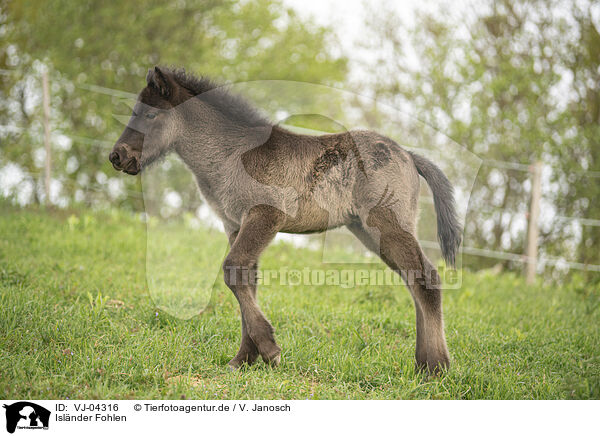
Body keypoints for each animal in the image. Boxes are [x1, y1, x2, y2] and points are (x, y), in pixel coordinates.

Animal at [110, 66, 462, 372]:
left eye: (151, 115)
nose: (118, 156)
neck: (233, 154)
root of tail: (408, 155)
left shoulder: (265, 217)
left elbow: (232, 270)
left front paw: (269, 350)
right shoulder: (234, 225)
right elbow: (246, 279)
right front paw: (243, 360)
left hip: (388, 225)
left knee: (426, 279)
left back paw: (436, 368)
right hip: (368, 231)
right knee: (413, 280)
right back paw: (422, 364)